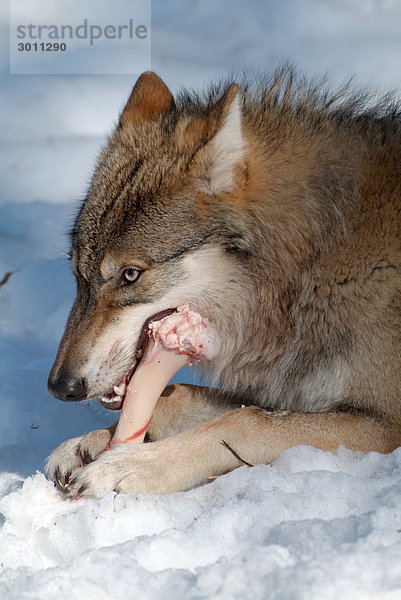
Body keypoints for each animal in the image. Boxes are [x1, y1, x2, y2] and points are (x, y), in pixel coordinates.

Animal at [45, 68, 400, 496]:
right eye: (78, 275)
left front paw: (132, 464)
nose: (60, 387)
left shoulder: (386, 425)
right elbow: (177, 396)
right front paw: (94, 443)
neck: (317, 260)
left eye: (130, 275)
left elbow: (248, 421)